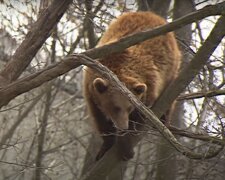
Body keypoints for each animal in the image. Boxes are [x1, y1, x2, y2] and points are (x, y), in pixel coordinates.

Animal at [82, 11, 181, 160]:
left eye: (129, 108)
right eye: (115, 107)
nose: (123, 126)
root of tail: (154, 15)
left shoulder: (149, 84)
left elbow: (141, 115)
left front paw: (126, 146)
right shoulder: (91, 92)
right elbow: (101, 122)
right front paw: (104, 148)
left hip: (171, 69)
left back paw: (163, 120)